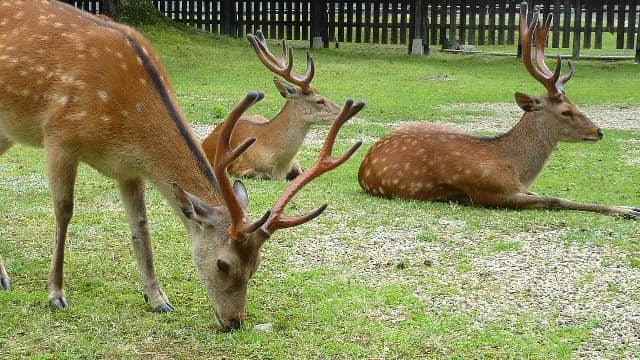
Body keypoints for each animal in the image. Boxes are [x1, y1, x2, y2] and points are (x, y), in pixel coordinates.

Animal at [200, 30, 342, 180]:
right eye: (319, 101)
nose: (342, 110)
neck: (279, 164)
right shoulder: (239, 168)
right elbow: (263, 175)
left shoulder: (296, 163)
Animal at [358, 2, 636, 219]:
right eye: (566, 111)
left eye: (576, 104)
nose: (599, 131)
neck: (516, 168)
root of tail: (365, 162)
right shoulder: (494, 193)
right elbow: (556, 199)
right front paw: (629, 209)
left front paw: (627, 207)